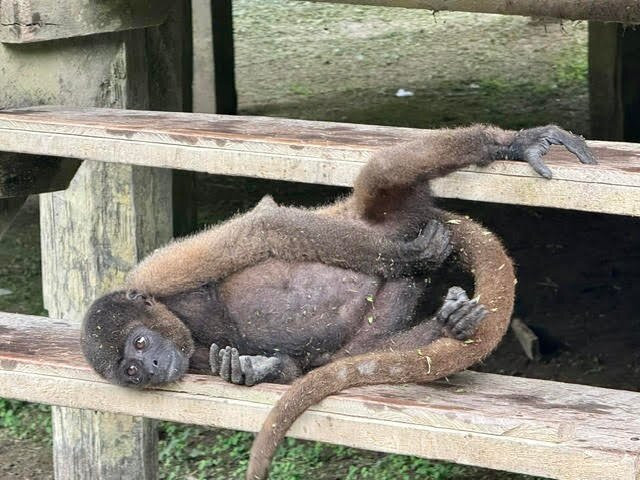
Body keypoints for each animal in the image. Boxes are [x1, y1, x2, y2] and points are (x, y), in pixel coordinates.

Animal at [80, 124, 595, 480]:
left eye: (140, 344)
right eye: (129, 371)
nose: (149, 368)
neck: (178, 320)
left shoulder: (157, 272)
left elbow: (266, 229)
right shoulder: (189, 358)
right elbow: (293, 365)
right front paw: (249, 369)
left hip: (379, 213)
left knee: (383, 175)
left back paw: (511, 146)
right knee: (357, 348)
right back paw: (450, 324)